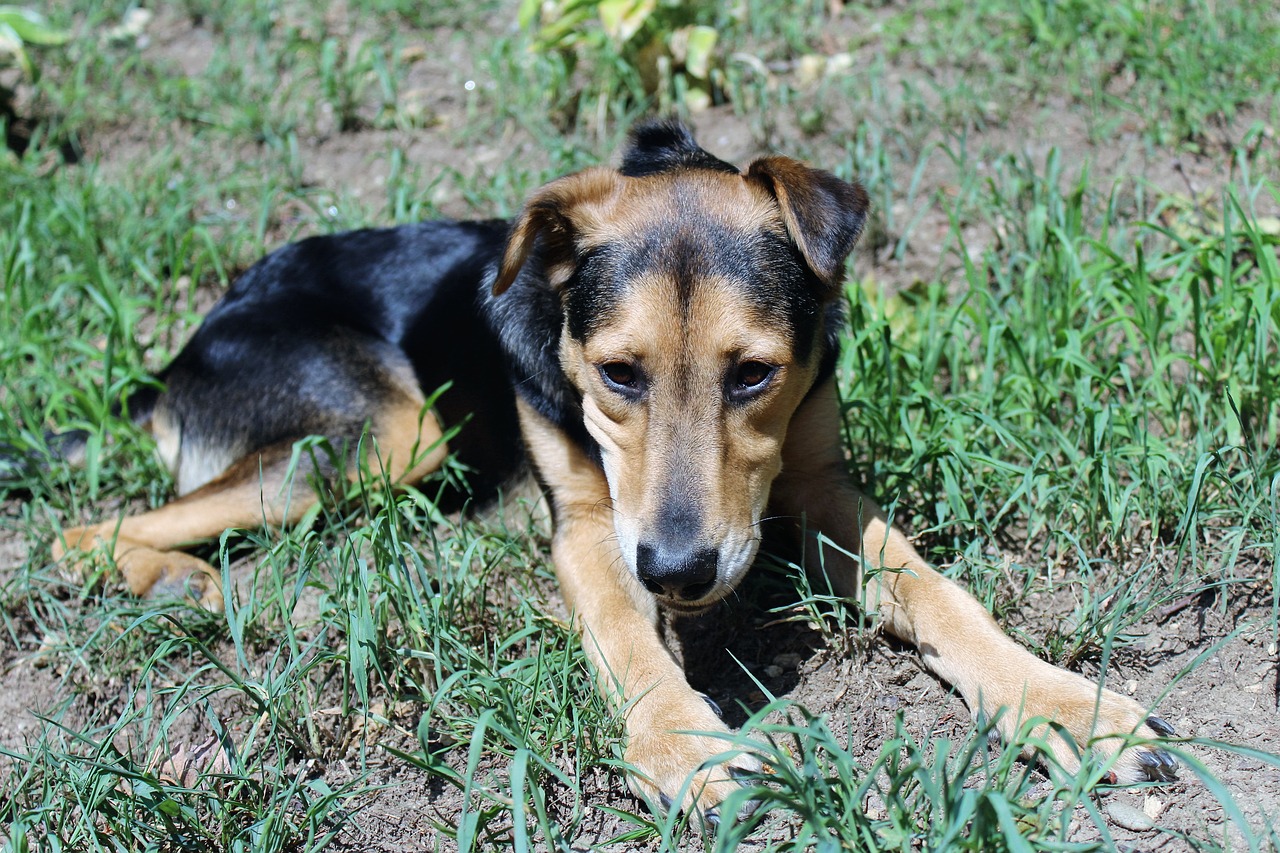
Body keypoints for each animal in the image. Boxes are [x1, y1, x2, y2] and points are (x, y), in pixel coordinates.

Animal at [49, 121, 1172, 824]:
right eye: (617, 373)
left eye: (754, 372)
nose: (677, 572)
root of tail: (177, 357)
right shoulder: (592, 526)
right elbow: (627, 636)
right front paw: (686, 746)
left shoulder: (817, 483)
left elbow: (935, 589)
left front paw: (1063, 705)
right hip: (395, 432)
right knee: (82, 532)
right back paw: (186, 585)